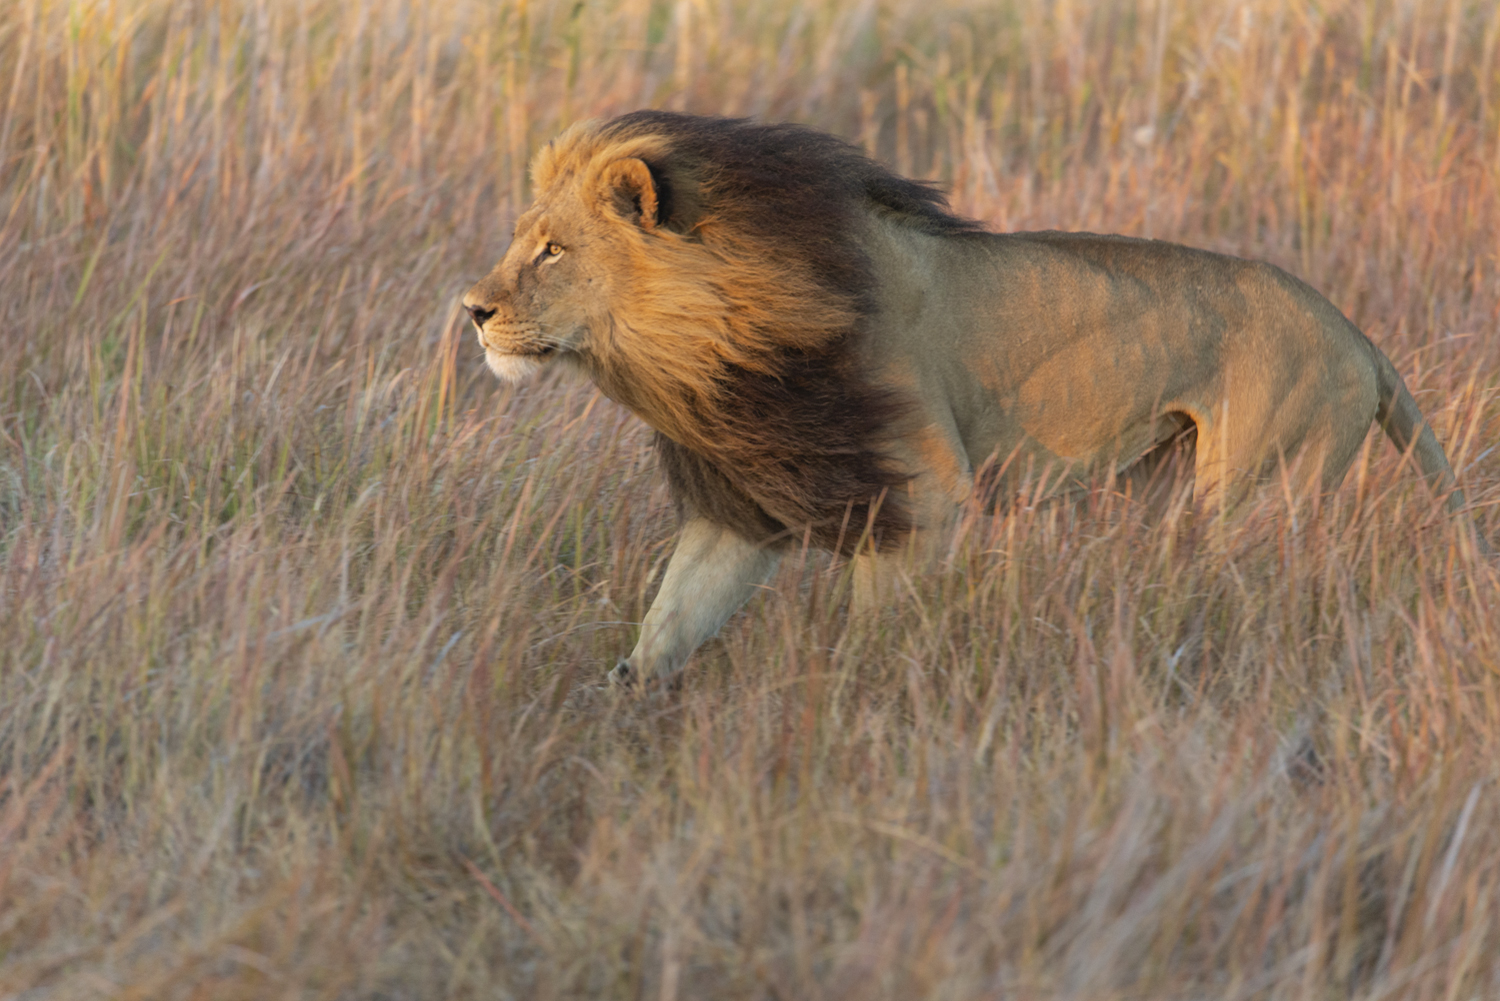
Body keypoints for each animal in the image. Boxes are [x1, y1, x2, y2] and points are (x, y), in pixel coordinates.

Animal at [462, 111, 1489, 688]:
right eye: (523, 238)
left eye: (552, 250)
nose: (471, 310)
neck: (710, 344)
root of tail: (1359, 336)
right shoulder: (746, 502)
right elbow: (666, 626)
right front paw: (614, 713)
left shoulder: (921, 488)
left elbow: (873, 635)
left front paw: (856, 708)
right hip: (1171, 484)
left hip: (1261, 490)